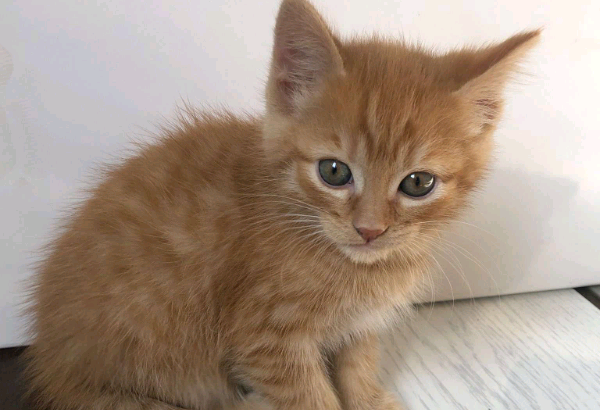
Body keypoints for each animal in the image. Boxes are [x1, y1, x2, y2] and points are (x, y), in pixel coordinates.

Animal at [22, 0, 540, 410]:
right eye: (334, 172)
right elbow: (310, 398)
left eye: (418, 183)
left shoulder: (358, 326)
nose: (369, 229)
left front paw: (371, 399)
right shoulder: (266, 339)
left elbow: (359, 366)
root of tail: (50, 365)